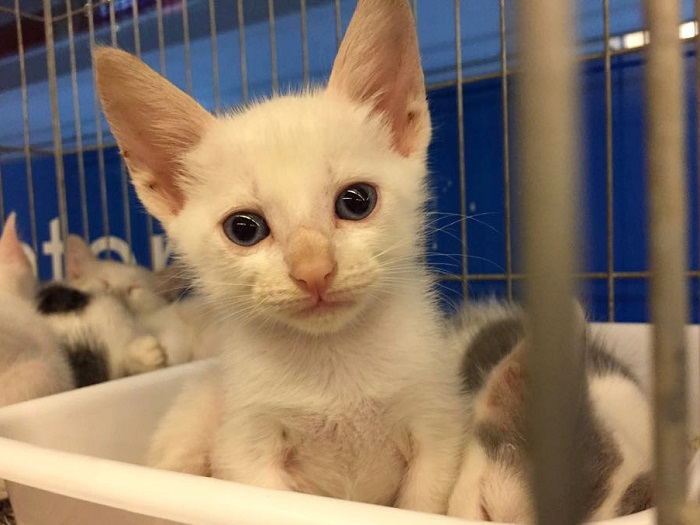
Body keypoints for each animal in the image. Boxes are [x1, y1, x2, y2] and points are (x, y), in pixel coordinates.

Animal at [93, 0, 464, 512]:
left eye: (357, 201)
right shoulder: (245, 446)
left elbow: (422, 500)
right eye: (244, 228)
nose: (314, 271)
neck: (333, 366)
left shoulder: (437, 424)